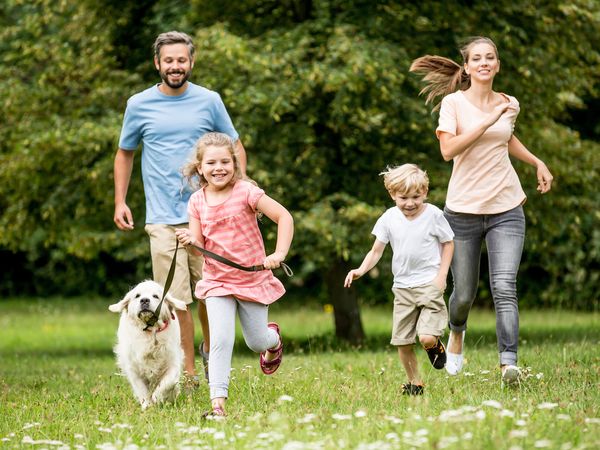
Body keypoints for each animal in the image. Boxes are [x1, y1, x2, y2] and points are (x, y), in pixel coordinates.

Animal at [109, 280, 186, 410]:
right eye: (137, 296)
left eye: (155, 296)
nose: (144, 300)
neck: (151, 333)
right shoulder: (133, 369)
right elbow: (141, 389)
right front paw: (147, 405)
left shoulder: (173, 363)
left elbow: (168, 382)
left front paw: (158, 397)